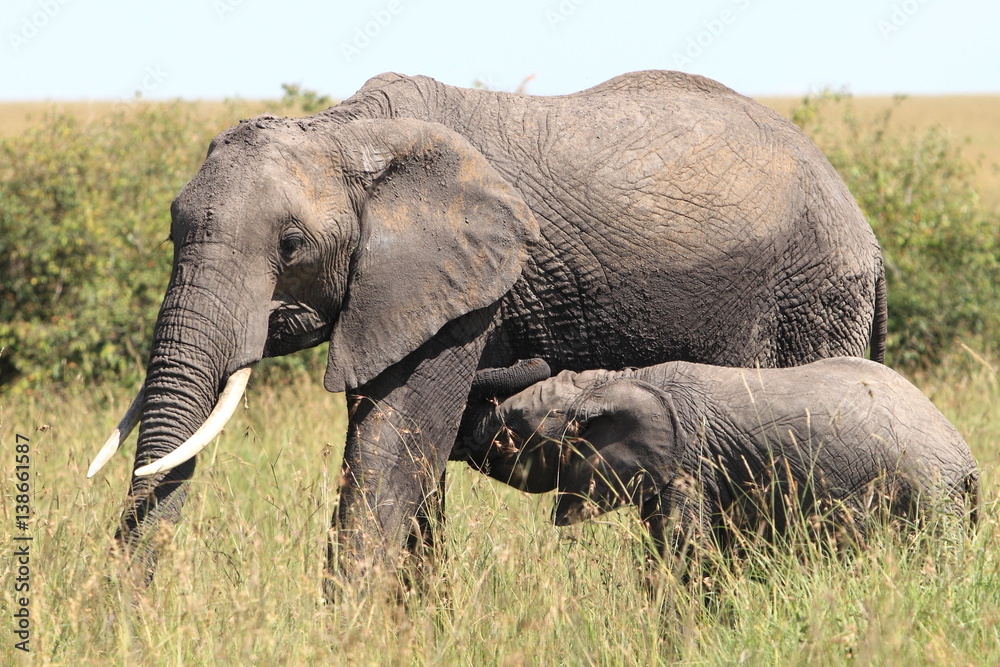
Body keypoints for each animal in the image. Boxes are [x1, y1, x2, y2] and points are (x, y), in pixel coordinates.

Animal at [92, 72, 884, 596]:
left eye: (291, 246)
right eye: (172, 229)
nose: (130, 611)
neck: (345, 132)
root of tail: (868, 235)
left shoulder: (464, 286)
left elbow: (394, 440)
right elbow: (406, 449)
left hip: (813, 299)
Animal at [464, 360, 980, 568]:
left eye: (511, 428)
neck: (621, 381)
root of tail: (966, 456)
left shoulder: (691, 464)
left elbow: (683, 556)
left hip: (927, 496)